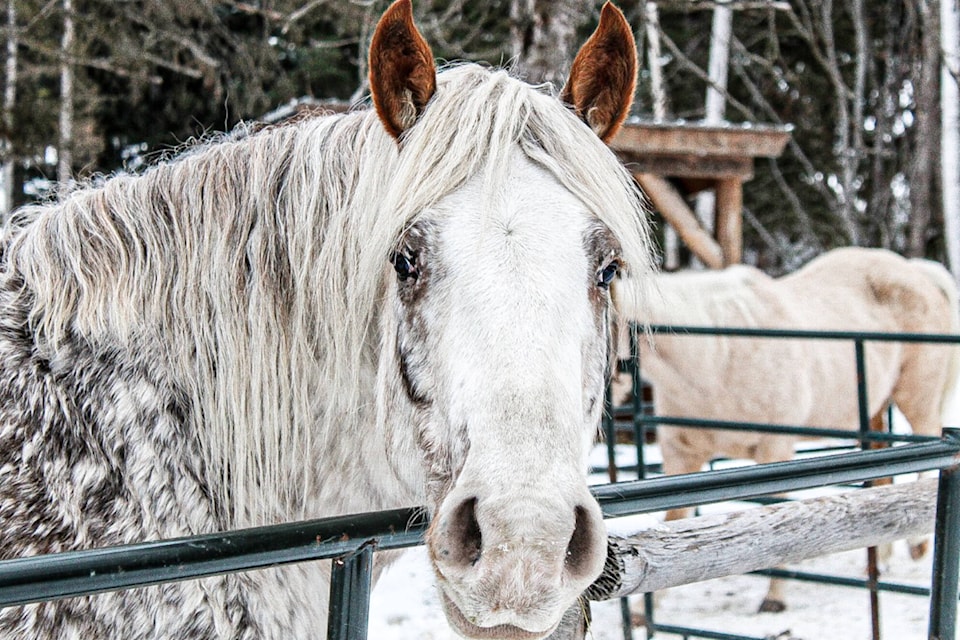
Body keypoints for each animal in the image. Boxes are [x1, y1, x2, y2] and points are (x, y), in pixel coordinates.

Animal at [616, 245, 960, 608]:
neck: (714, 359)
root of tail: (915, 270)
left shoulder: (774, 450)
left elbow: (776, 517)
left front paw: (774, 599)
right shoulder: (681, 457)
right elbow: (672, 526)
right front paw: (643, 609)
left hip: (916, 396)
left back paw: (917, 545)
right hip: (873, 410)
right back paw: (877, 562)